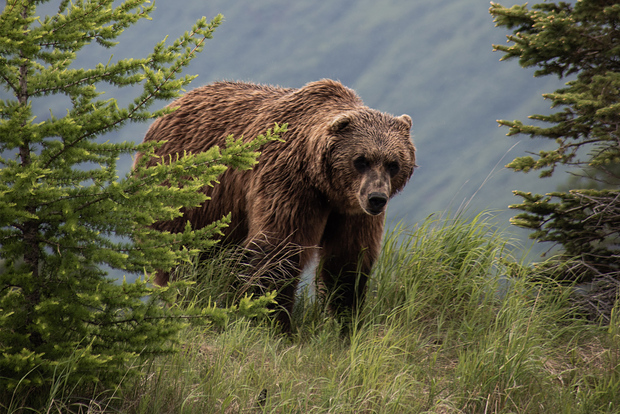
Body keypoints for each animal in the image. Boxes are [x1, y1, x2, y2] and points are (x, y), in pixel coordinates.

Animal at [136, 79, 416, 332]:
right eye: (361, 160)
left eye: (393, 163)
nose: (377, 198)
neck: (325, 186)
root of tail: (171, 106)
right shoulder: (289, 184)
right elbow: (278, 250)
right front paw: (273, 322)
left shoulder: (351, 211)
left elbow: (347, 260)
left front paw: (345, 321)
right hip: (187, 198)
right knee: (184, 259)